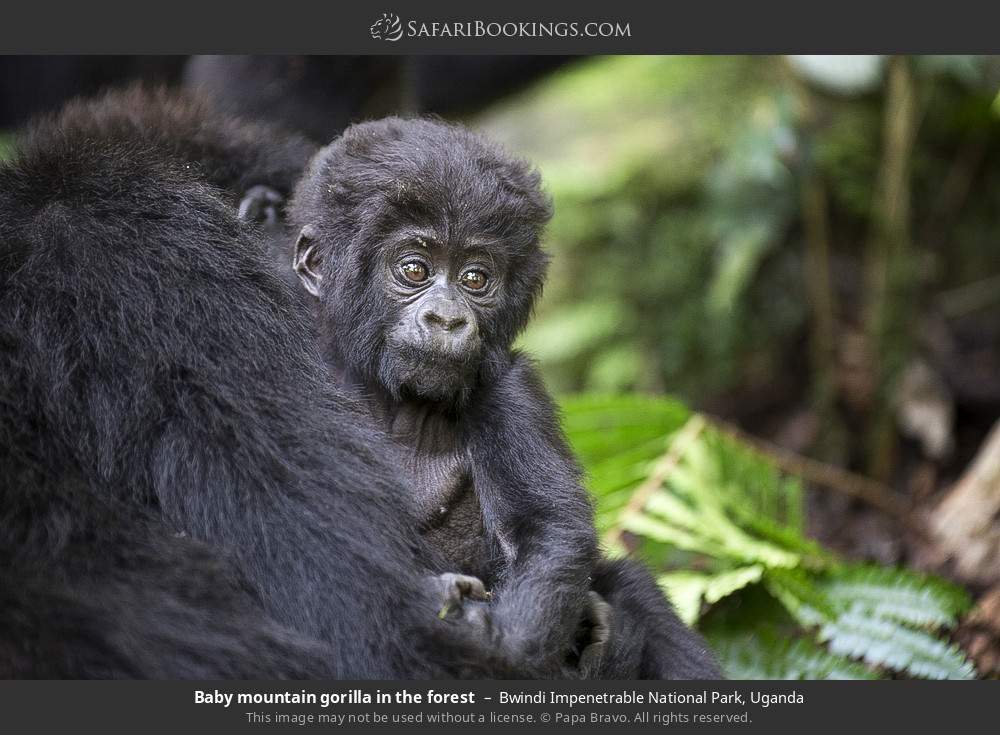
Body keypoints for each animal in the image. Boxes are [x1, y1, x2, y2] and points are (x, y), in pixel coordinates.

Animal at [290, 116, 720, 680]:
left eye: (475, 278)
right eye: (414, 269)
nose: (447, 319)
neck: (391, 399)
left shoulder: (510, 386)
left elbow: (546, 531)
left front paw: (492, 641)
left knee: (634, 591)